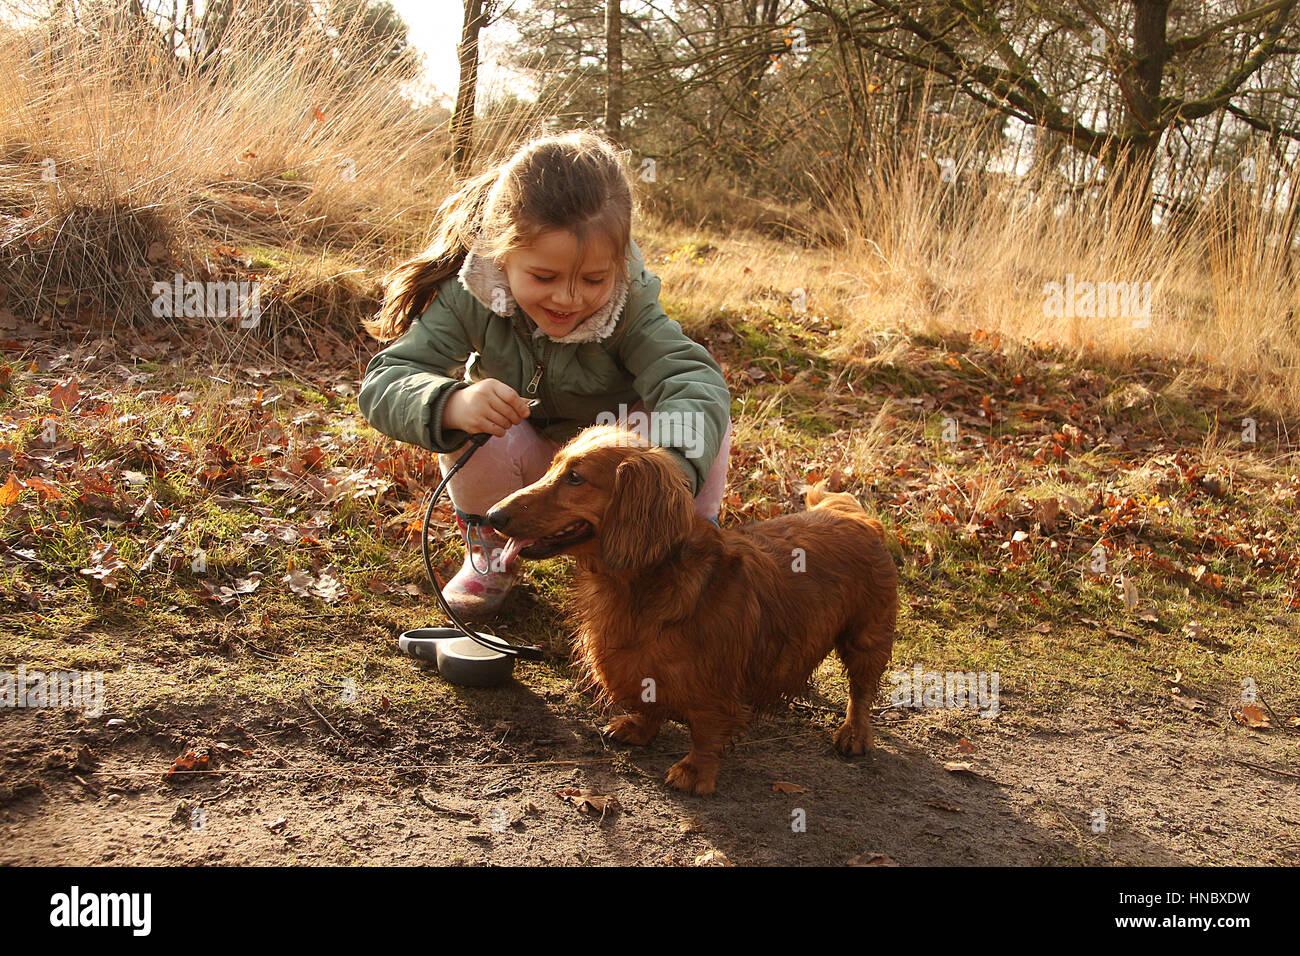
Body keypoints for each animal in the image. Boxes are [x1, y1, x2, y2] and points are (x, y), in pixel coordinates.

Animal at [483, 424, 899, 790]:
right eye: (553, 466)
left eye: (575, 478)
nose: (491, 515)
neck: (643, 584)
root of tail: (852, 513)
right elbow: (651, 703)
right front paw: (639, 727)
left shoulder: (714, 689)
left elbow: (706, 732)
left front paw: (695, 772)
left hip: (866, 636)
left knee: (861, 691)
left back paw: (854, 734)